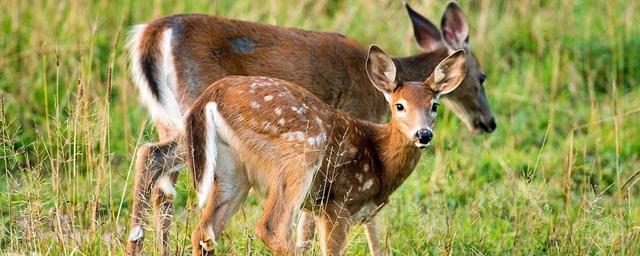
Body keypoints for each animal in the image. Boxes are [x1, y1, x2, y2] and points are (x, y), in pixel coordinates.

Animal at [185, 46, 464, 256]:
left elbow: (378, 248)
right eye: (400, 106)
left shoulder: (358, 212)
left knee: (203, 232)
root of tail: (212, 95)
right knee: (271, 228)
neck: (380, 161)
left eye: (434, 105)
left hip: (232, 170)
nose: (423, 134)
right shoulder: (337, 203)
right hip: (300, 154)